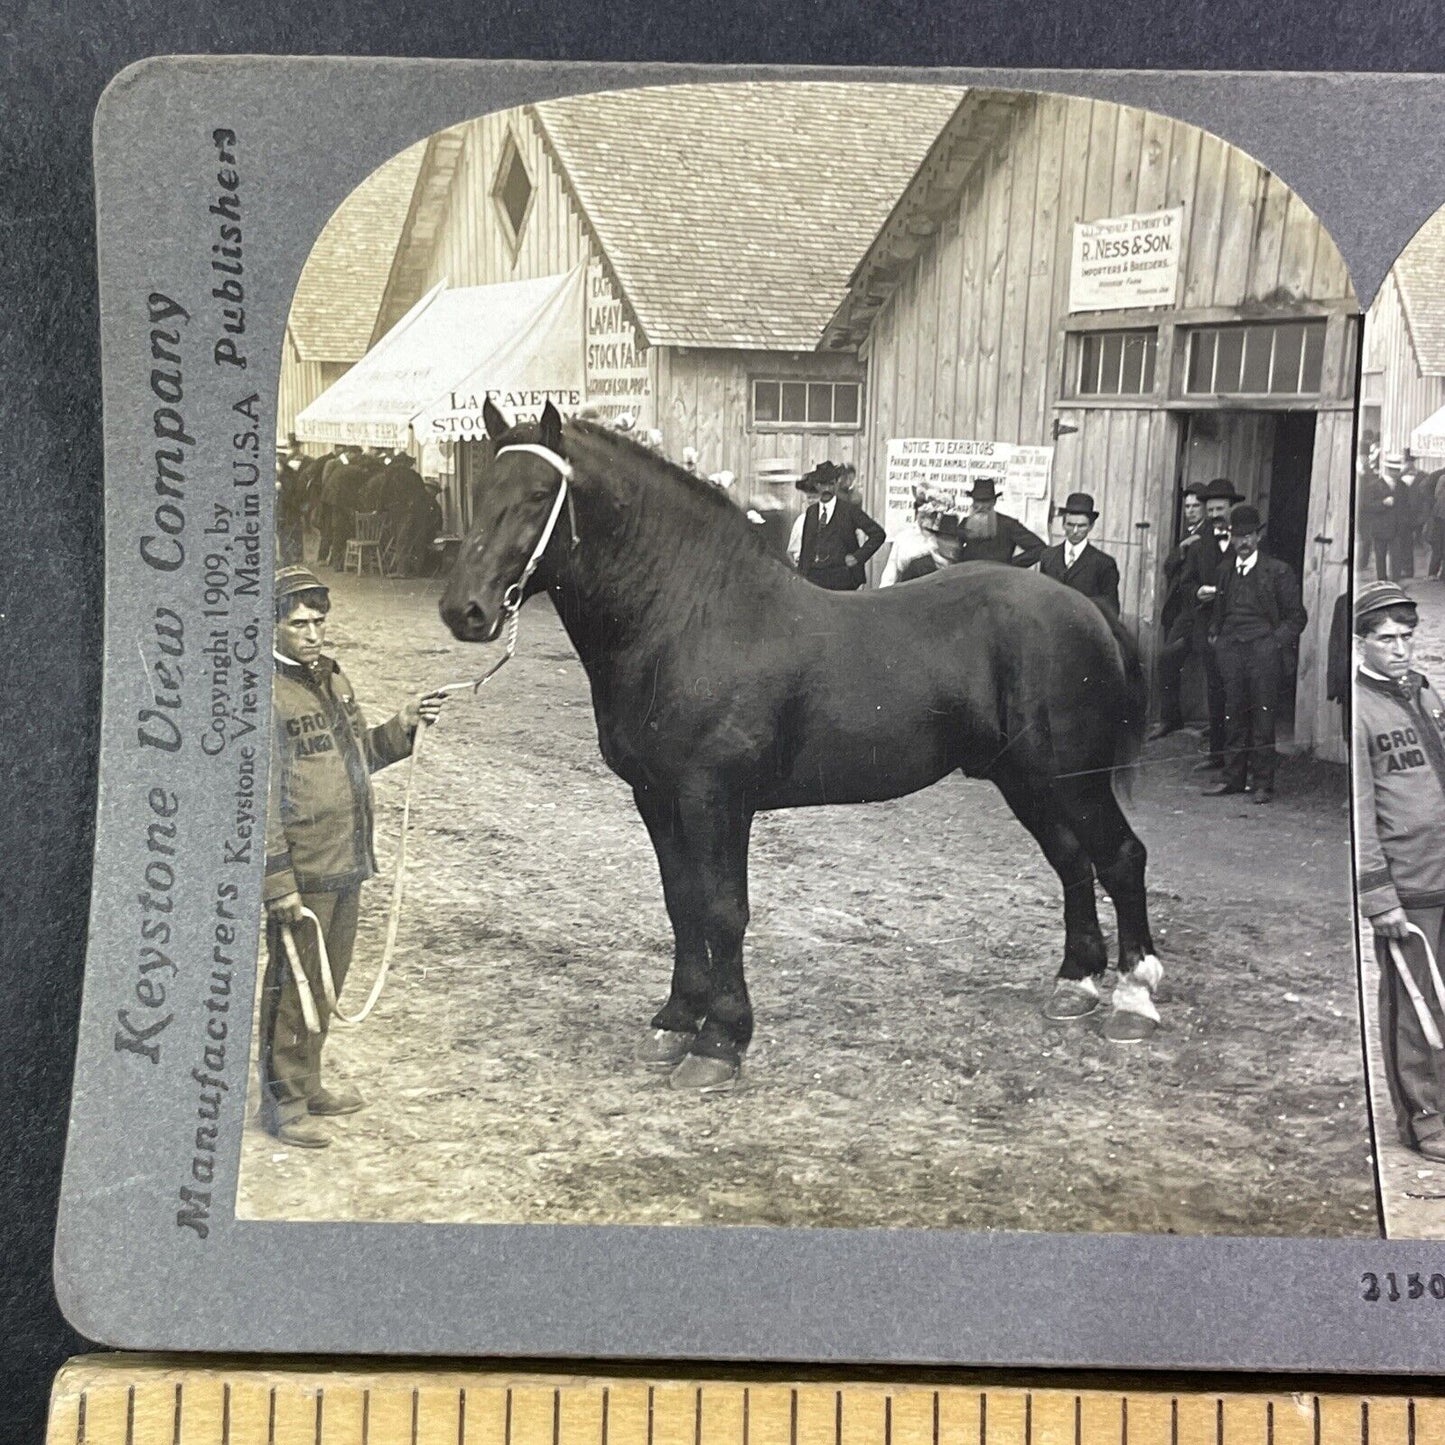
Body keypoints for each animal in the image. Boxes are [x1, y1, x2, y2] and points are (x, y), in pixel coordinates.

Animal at [439, 401, 1161, 1086]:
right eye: (480, 489)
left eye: (539, 494)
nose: (464, 609)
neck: (692, 619)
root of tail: (1085, 609)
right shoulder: (655, 796)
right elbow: (680, 903)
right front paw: (675, 1020)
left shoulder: (716, 799)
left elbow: (723, 910)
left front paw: (720, 1041)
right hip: (1024, 780)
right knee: (1072, 861)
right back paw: (1075, 984)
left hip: (1071, 776)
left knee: (1121, 857)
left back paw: (1134, 998)